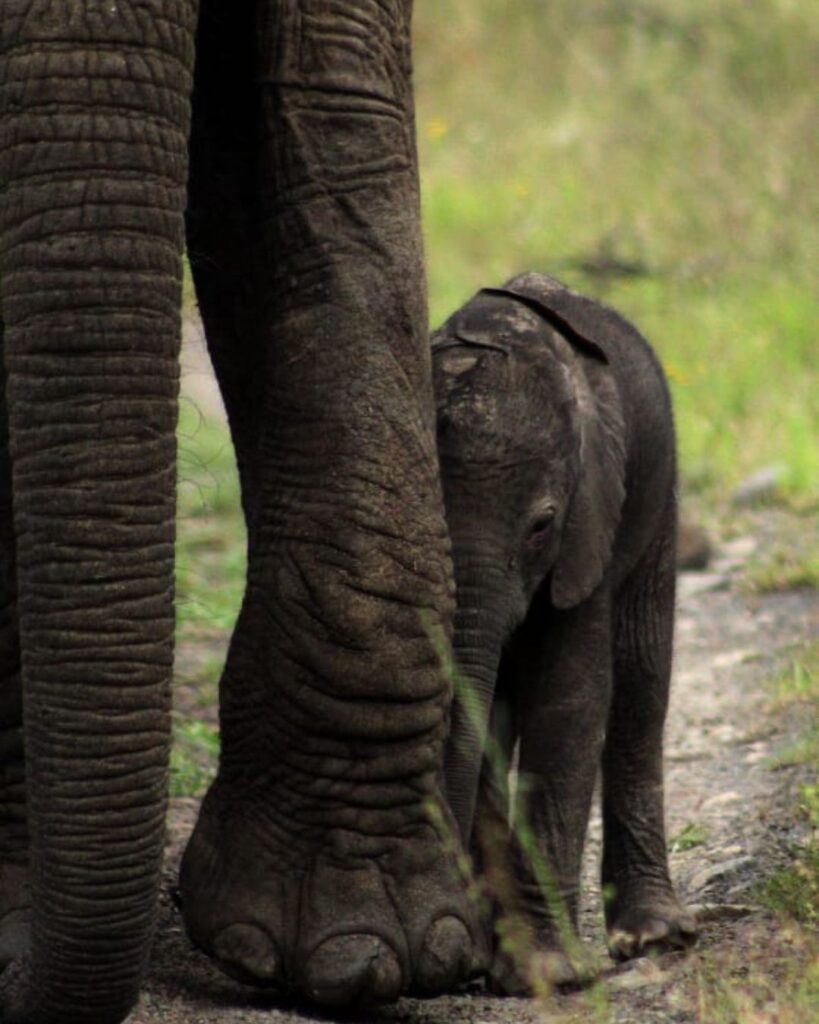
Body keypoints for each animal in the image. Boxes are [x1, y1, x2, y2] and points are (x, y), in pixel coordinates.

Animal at [433, 273, 698, 993]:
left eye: (541, 525)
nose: (460, 961)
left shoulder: (591, 519)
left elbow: (569, 702)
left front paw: (546, 973)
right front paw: (499, 960)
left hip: (658, 495)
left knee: (640, 683)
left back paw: (654, 936)